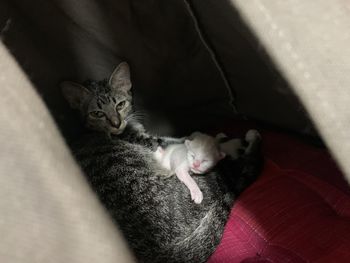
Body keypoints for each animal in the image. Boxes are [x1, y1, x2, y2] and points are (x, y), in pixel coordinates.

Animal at [61, 62, 262, 263]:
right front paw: (222, 142)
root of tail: (154, 252)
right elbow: (181, 140)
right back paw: (251, 140)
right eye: (97, 113)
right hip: (208, 181)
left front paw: (215, 137)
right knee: (241, 169)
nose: (116, 123)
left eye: (120, 104)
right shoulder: (151, 141)